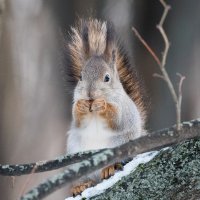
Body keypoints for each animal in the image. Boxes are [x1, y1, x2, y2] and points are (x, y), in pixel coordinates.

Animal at [65, 18, 148, 196]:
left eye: (107, 78)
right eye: (81, 77)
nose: (90, 94)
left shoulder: (123, 110)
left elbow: (117, 120)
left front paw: (102, 105)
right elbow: (77, 121)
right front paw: (81, 106)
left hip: (119, 144)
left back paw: (109, 168)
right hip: (76, 157)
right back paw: (80, 185)